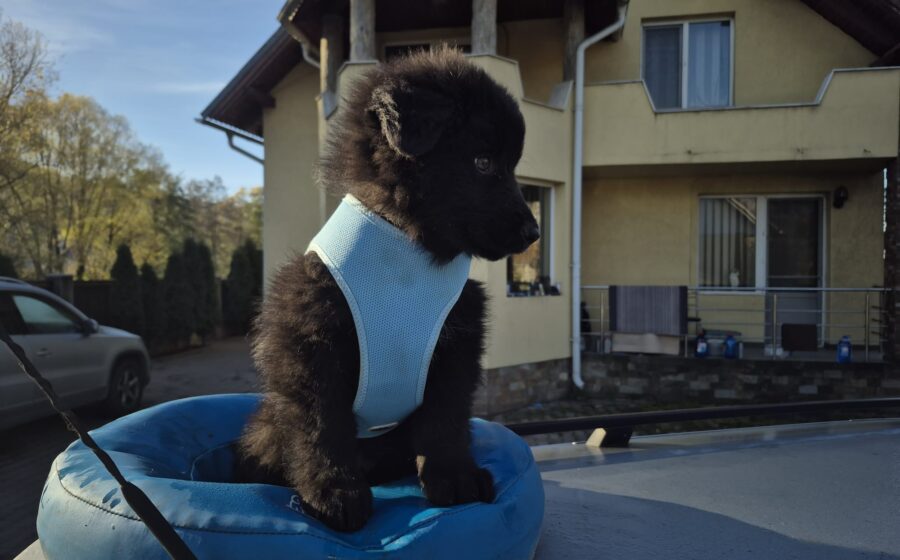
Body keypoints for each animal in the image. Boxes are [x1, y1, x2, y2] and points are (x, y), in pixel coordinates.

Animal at [237, 47, 540, 533]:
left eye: (511, 167)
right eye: (483, 163)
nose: (533, 232)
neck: (409, 255)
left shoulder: (456, 349)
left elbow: (445, 419)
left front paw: (454, 478)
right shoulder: (311, 343)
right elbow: (321, 426)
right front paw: (333, 492)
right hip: (268, 425)